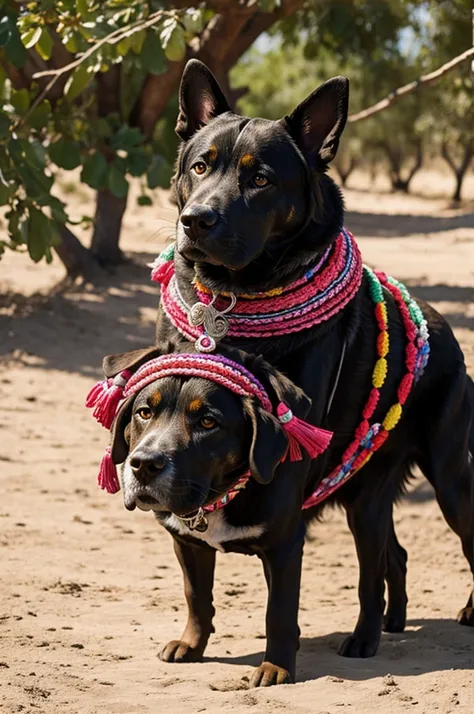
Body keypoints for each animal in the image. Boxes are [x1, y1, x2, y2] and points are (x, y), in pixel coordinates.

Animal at [151, 61, 474, 684]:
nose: (195, 220)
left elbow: (279, 597)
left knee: (438, 549)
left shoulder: (285, 473)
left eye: (260, 180)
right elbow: (196, 587)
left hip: (450, 476)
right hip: (368, 493)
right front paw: (193, 643)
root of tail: (445, 329)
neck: (235, 301)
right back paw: (389, 624)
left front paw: (276, 664)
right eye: (200, 165)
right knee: (389, 555)